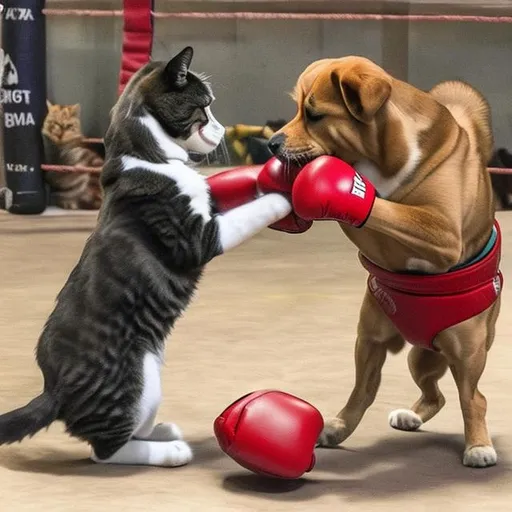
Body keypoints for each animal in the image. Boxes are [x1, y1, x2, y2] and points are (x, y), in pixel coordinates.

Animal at [0, 46, 290, 466]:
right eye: (205, 107)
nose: (222, 130)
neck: (148, 156)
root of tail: (53, 390)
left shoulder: (207, 205)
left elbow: (228, 191)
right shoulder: (198, 236)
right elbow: (249, 213)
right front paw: (286, 195)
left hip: (150, 373)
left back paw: (162, 430)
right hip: (137, 381)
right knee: (105, 451)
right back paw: (171, 451)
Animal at [270, 56, 502, 468]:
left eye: (314, 115)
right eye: (297, 110)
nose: (271, 143)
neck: (378, 156)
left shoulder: (443, 233)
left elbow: (385, 209)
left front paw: (343, 189)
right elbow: (372, 213)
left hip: (466, 350)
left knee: (472, 397)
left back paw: (478, 444)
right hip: (384, 342)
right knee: (387, 391)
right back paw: (349, 424)